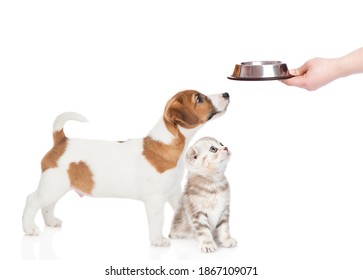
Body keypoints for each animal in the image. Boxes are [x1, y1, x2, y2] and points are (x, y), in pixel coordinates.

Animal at [22, 89, 230, 245]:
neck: (167, 144)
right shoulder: (155, 199)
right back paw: (29, 228)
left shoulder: (173, 191)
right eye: (199, 98)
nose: (226, 93)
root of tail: (62, 141)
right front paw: (158, 241)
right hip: (52, 186)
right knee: (33, 200)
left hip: (57, 186)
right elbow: (158, 220)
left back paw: (50, 222)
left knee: (48, 205)